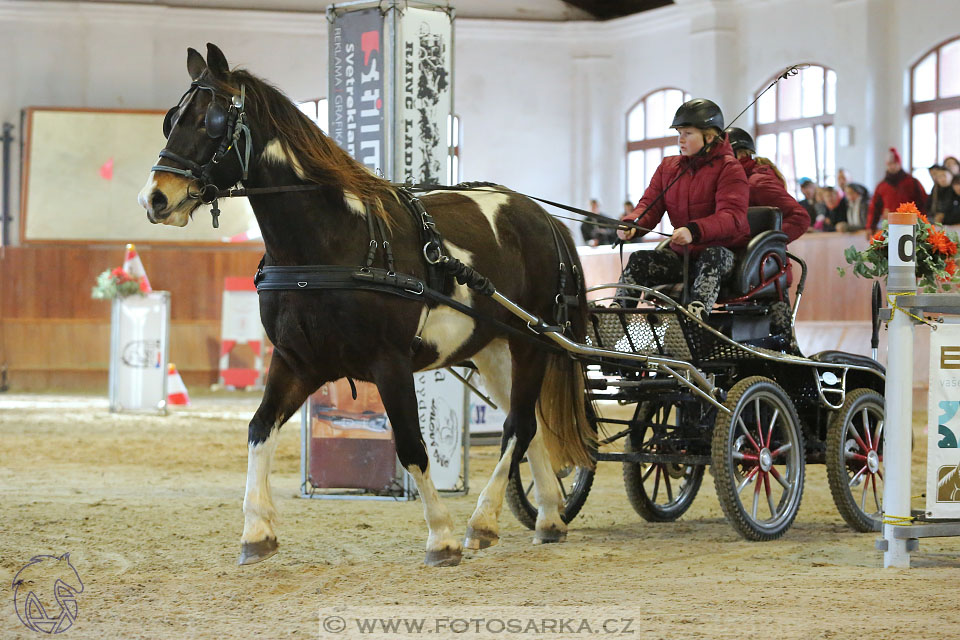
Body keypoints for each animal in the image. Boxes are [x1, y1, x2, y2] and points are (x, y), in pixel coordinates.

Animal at [140, 43, 596, 564]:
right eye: (171, 119)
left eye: (212, 120)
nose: (155, 198)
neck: (330, 244)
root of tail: (541, 216)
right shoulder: (297, 361)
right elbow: (259, 429)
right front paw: (256, 530)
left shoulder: (389, 362)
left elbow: (412, 446)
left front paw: (440, 536)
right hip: (494, 350)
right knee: (530, 424)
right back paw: (549, 517)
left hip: (531, 345)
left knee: (517, 426)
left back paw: (481, 521)